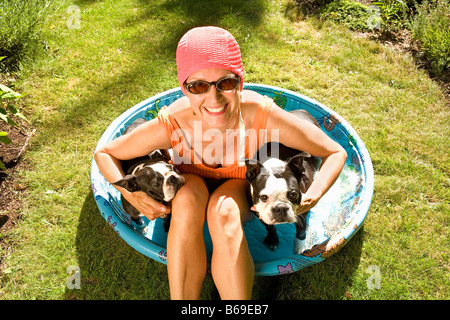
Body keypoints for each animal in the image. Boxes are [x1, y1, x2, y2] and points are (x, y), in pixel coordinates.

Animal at [248, 109, 318, 252]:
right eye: (263, 197)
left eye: (293, 194)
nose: (280, 208)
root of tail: (302, 111)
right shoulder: (260, 212)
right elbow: (270, 227)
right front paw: (273, 239)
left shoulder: (304, 208)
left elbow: (301, 229)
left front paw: (299, 247)